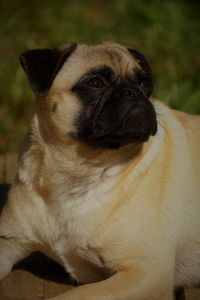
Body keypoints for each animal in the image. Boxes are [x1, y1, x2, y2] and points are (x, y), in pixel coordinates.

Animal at [0, 42, 200, 300]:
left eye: (144, 84)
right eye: (95, 83)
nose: (134, 92)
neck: (81, 170)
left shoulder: (146, 274)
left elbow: (75, 295)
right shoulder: (8, 243)